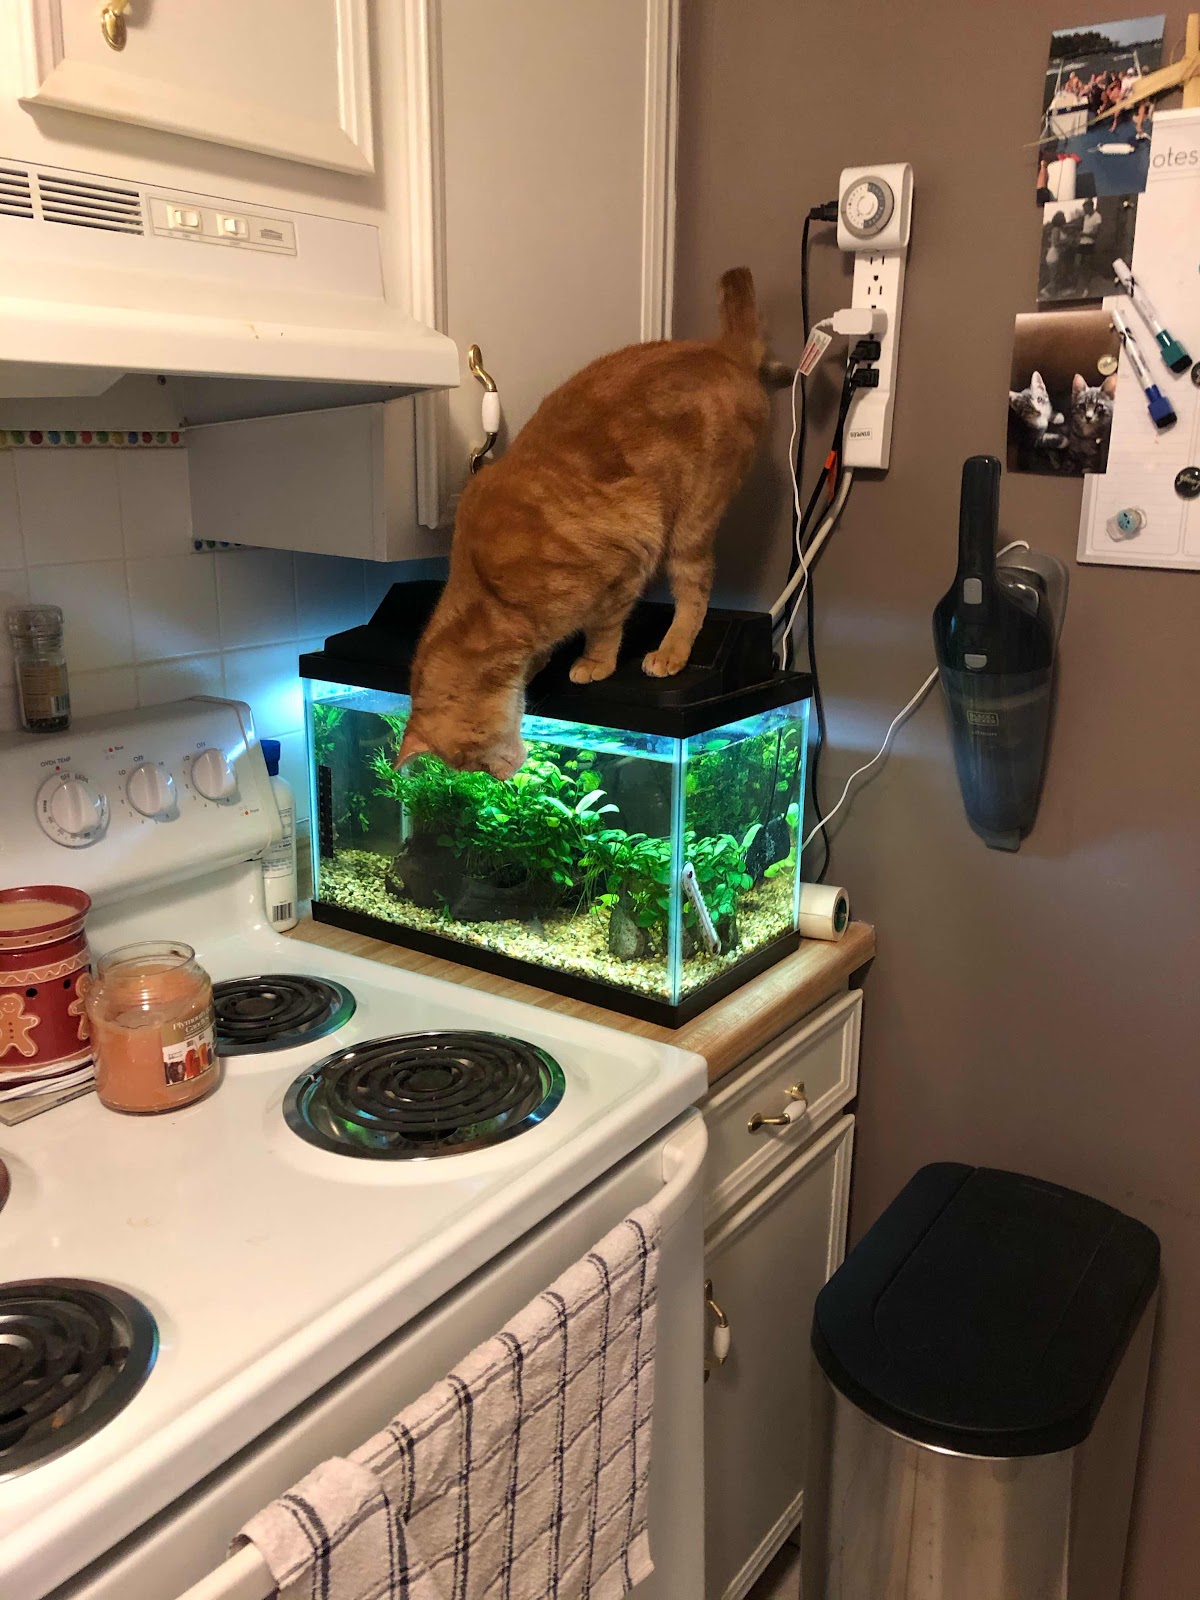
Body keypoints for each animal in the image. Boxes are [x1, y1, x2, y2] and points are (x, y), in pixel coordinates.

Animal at [396, 268, 778, 779]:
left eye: (476, 760)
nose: (503, 778)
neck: (492, 597)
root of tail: (722, 351)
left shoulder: (628, 555)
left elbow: (604, 626)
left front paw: (594, 662)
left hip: (689, 524)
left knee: (695, 594)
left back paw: (670, 652)